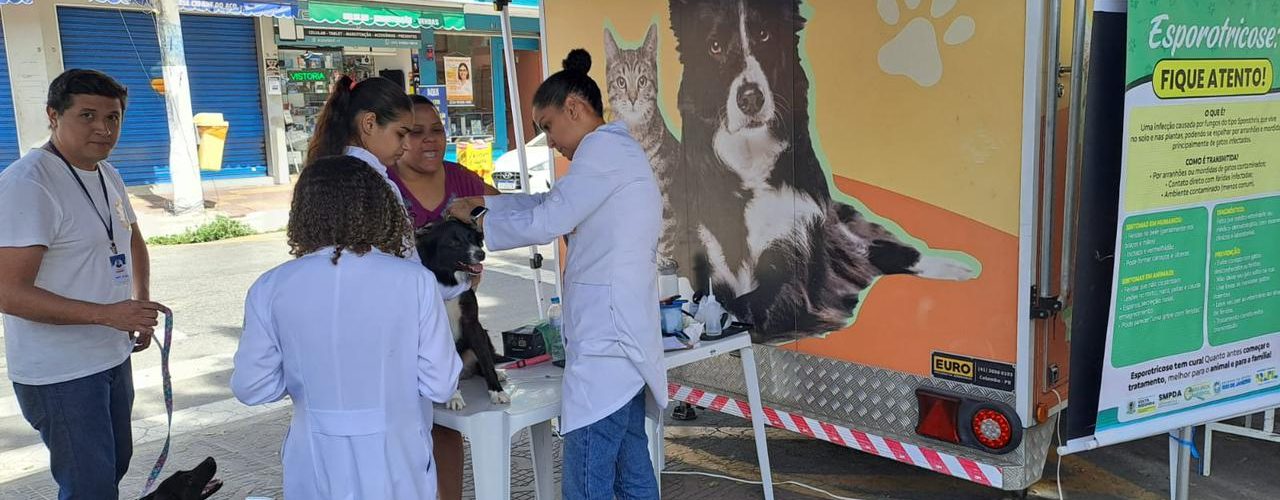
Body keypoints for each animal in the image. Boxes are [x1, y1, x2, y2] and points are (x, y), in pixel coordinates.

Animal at [415, 219, 509, 409]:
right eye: (454, 243)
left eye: (472, 238)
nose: (481, 254)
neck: (449, 282)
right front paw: (454, 396)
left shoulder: (472, 323)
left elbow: (486, 361)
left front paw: (497, 391)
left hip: (484, 333)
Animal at [604, 24, 688, 273]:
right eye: (621, 82)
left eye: (642, 81)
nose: (633, 98)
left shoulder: (667, 197)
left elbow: (665, 233)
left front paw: (662, 259)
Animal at [669, 0, 976, 344]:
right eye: (715, 46)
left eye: (764, 35)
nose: (750, 99)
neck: (749, 168)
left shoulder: (792, 263)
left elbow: (746, 306)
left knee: (876, 251)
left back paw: (954, 268)